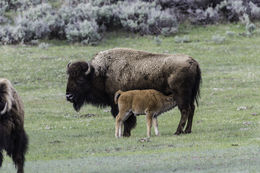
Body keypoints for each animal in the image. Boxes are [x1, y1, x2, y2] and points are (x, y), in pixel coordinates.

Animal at [66, 47, 202, 137]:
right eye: (69, 77)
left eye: (80, 79)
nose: (68, 96)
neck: (101, 73)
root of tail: (193, 62)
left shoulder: (119, 104)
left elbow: (126, 119)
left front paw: (126, 133)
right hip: (190, 96)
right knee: (192, 109)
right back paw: (187, 130)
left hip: (181, 96)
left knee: (185, 110)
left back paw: (178, 131)